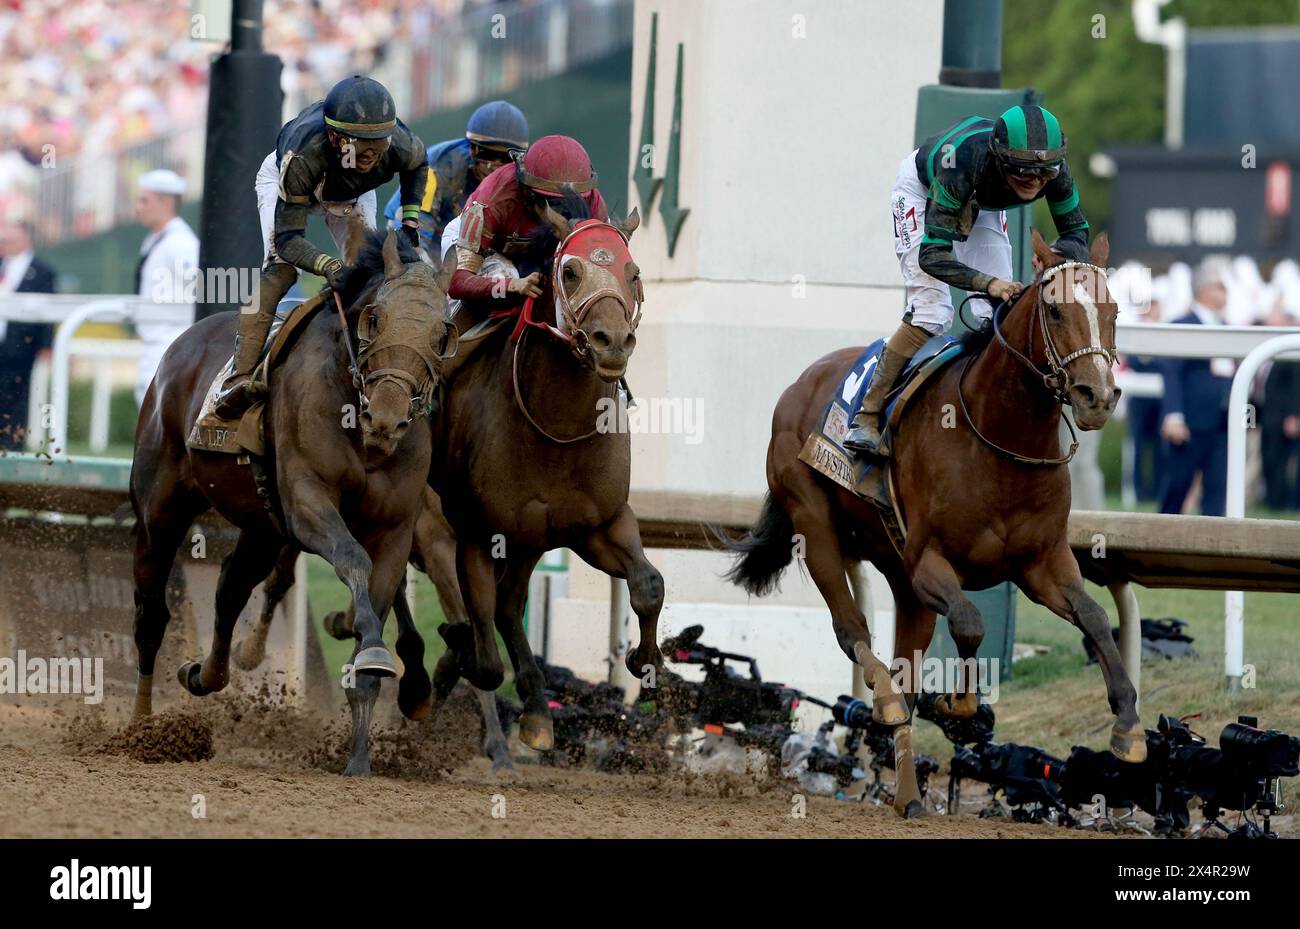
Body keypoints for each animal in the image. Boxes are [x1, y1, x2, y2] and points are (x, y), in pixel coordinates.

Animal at [128, 232, 452, 779]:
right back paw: (142, 728)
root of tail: (181, 346)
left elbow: (376, 608)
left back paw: (205, 674)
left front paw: (359, 758)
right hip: (160, 511)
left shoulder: (393, 527)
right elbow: (353, 560)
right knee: (151, 618)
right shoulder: (308, 502)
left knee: (230, 589)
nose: (388, 417)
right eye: (374, 319)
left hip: (262, 527)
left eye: (442, 332)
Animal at [431, 203, 665, 748]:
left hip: (531, 541)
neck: (555, 426)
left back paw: (537, 712)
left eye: (633, 272)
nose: (612, 342)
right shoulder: (478, 534)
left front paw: (644, 662)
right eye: (570, 271)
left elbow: (649, 583)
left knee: (509, 604)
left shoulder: (596, 525)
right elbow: (486, 662)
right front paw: (458, 657)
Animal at [728, 231, 1144, 815]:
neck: (1000, 439)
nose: (1098, 397)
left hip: (900, 576)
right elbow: (970, 622)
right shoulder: (930, 561)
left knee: (905, 667)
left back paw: (907, 795)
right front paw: (958, 705)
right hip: (815, 522)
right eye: (1056, 310)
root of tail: (800, 383)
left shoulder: (1042, 563)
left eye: (1114, 311)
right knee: (852, 630)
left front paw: (1128, 728)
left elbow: (1096, 617)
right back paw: (884, 703)